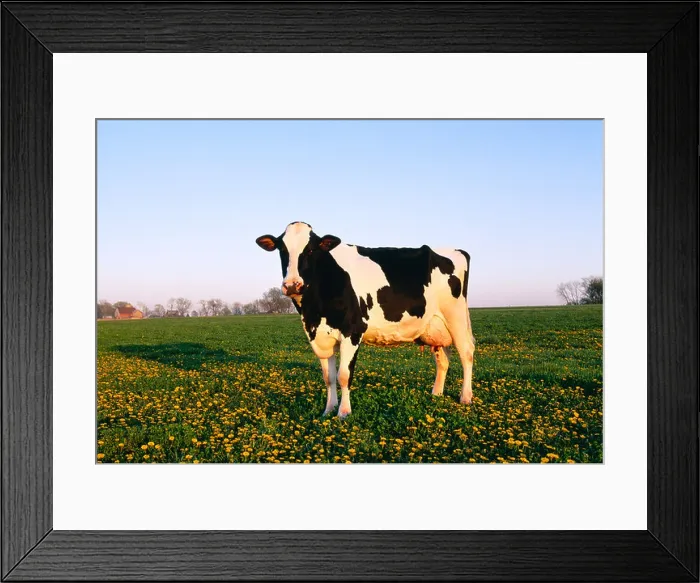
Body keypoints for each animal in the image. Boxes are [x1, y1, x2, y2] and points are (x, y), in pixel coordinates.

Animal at [256, 221, 475, 418]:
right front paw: (328, 410)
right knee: (443, 359)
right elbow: (329, 377)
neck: (314, 312)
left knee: (466, 353)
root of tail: (456, 250)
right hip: (434, 327)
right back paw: (436, 394)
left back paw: (466, 396)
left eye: (310, 250)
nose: (292, 285)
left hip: (456, 318)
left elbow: (344, 375)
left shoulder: (352, 330)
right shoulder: (320, 336)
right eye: (282, 250)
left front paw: (344, 412)